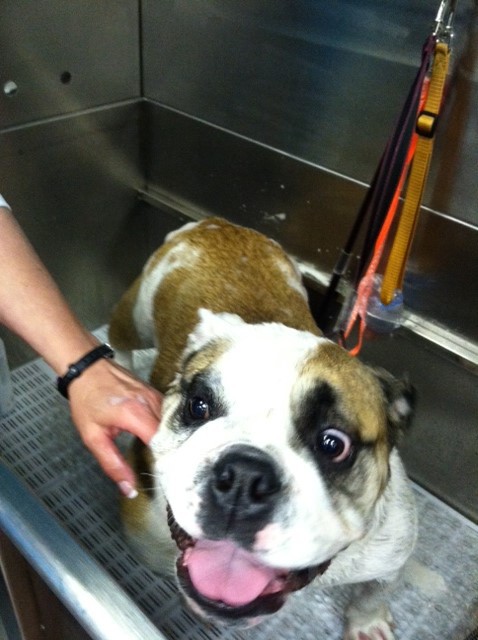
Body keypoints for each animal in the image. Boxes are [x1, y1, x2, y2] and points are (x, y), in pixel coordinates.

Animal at [108, 217, 417, 640]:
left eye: (333, 444)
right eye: (198, 406)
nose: (243, 476)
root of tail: (215, 224)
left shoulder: (391, 556)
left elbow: (375, 591)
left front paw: (366, 622)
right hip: (135, 314)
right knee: (121, 339)